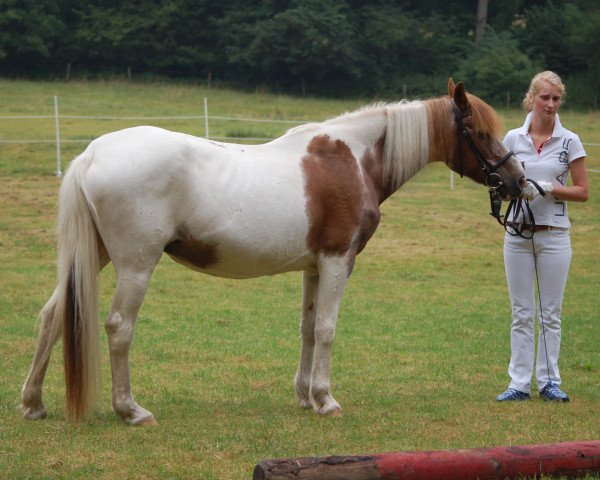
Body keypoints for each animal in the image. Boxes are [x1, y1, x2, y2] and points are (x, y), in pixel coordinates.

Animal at [21, 80, 524, 426]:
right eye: (477, 131)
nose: (517, 181)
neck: (352, 159)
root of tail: (91, 154)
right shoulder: (339, 260)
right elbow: (326, 329)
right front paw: (326, 399)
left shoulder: (314, 266)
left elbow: (307, 328)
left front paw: (304, 396)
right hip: (135, 264)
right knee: (118, 327)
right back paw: (131, 410)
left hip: (95, 256)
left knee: (53, 314)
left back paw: (33, 403)